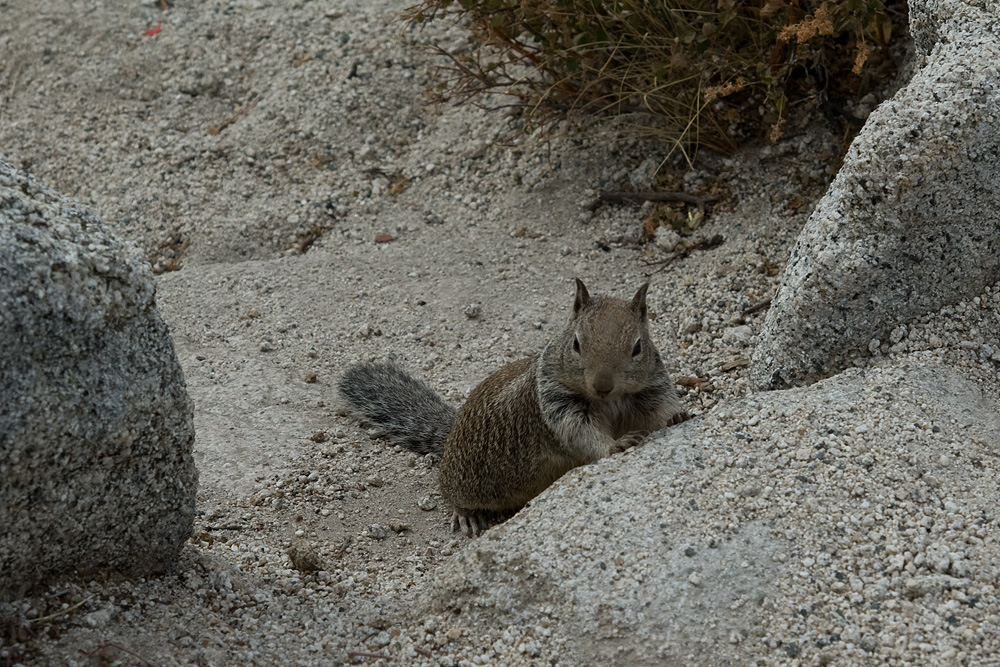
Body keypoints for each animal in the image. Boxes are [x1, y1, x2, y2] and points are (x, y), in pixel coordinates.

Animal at [336, 280, 688, 536]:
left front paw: (678, 415)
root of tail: (449, 437)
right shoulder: (557, 405)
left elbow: (660, 409)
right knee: (449, 492)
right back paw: (467, 516)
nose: (602, 385)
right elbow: (582, 434)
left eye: (637, 347)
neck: (609, 401)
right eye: (576, 343)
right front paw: (617, 444)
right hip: (465, 480)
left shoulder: (651, 389)